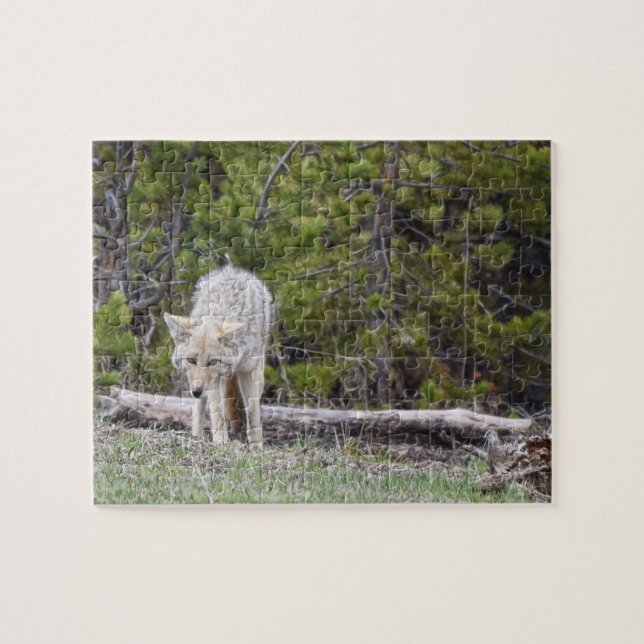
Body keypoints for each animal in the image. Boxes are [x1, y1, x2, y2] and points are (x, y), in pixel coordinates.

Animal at [164, 265, 273, 445]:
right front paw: (221, 439)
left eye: (213, 361)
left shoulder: (250, 372)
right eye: (191, 360)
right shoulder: (212, 381)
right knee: (201, 408)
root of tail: (231, 270)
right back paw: (197, 436)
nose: (196, 391)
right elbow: (216, 408)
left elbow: (253, 411)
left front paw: (256, 445)